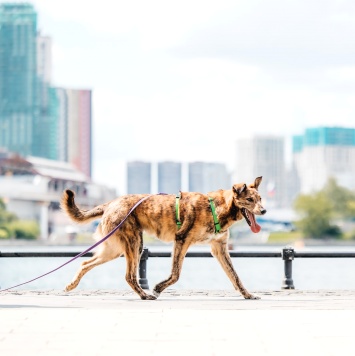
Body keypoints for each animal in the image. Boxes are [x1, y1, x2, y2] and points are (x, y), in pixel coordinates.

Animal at [61, 177, 268, 298]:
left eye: (260, 199)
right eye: (249, 200)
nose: (264, 211)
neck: (217, 207)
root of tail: (111, 202)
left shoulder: (220, 249)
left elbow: (235, 275)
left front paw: (248, 295)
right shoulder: (181, 240)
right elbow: (175, 274)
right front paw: (158, 288)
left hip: (114, 250)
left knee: (85, 263)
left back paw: (71, 285)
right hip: (134, 244)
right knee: (129, 276)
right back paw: (145, 295)